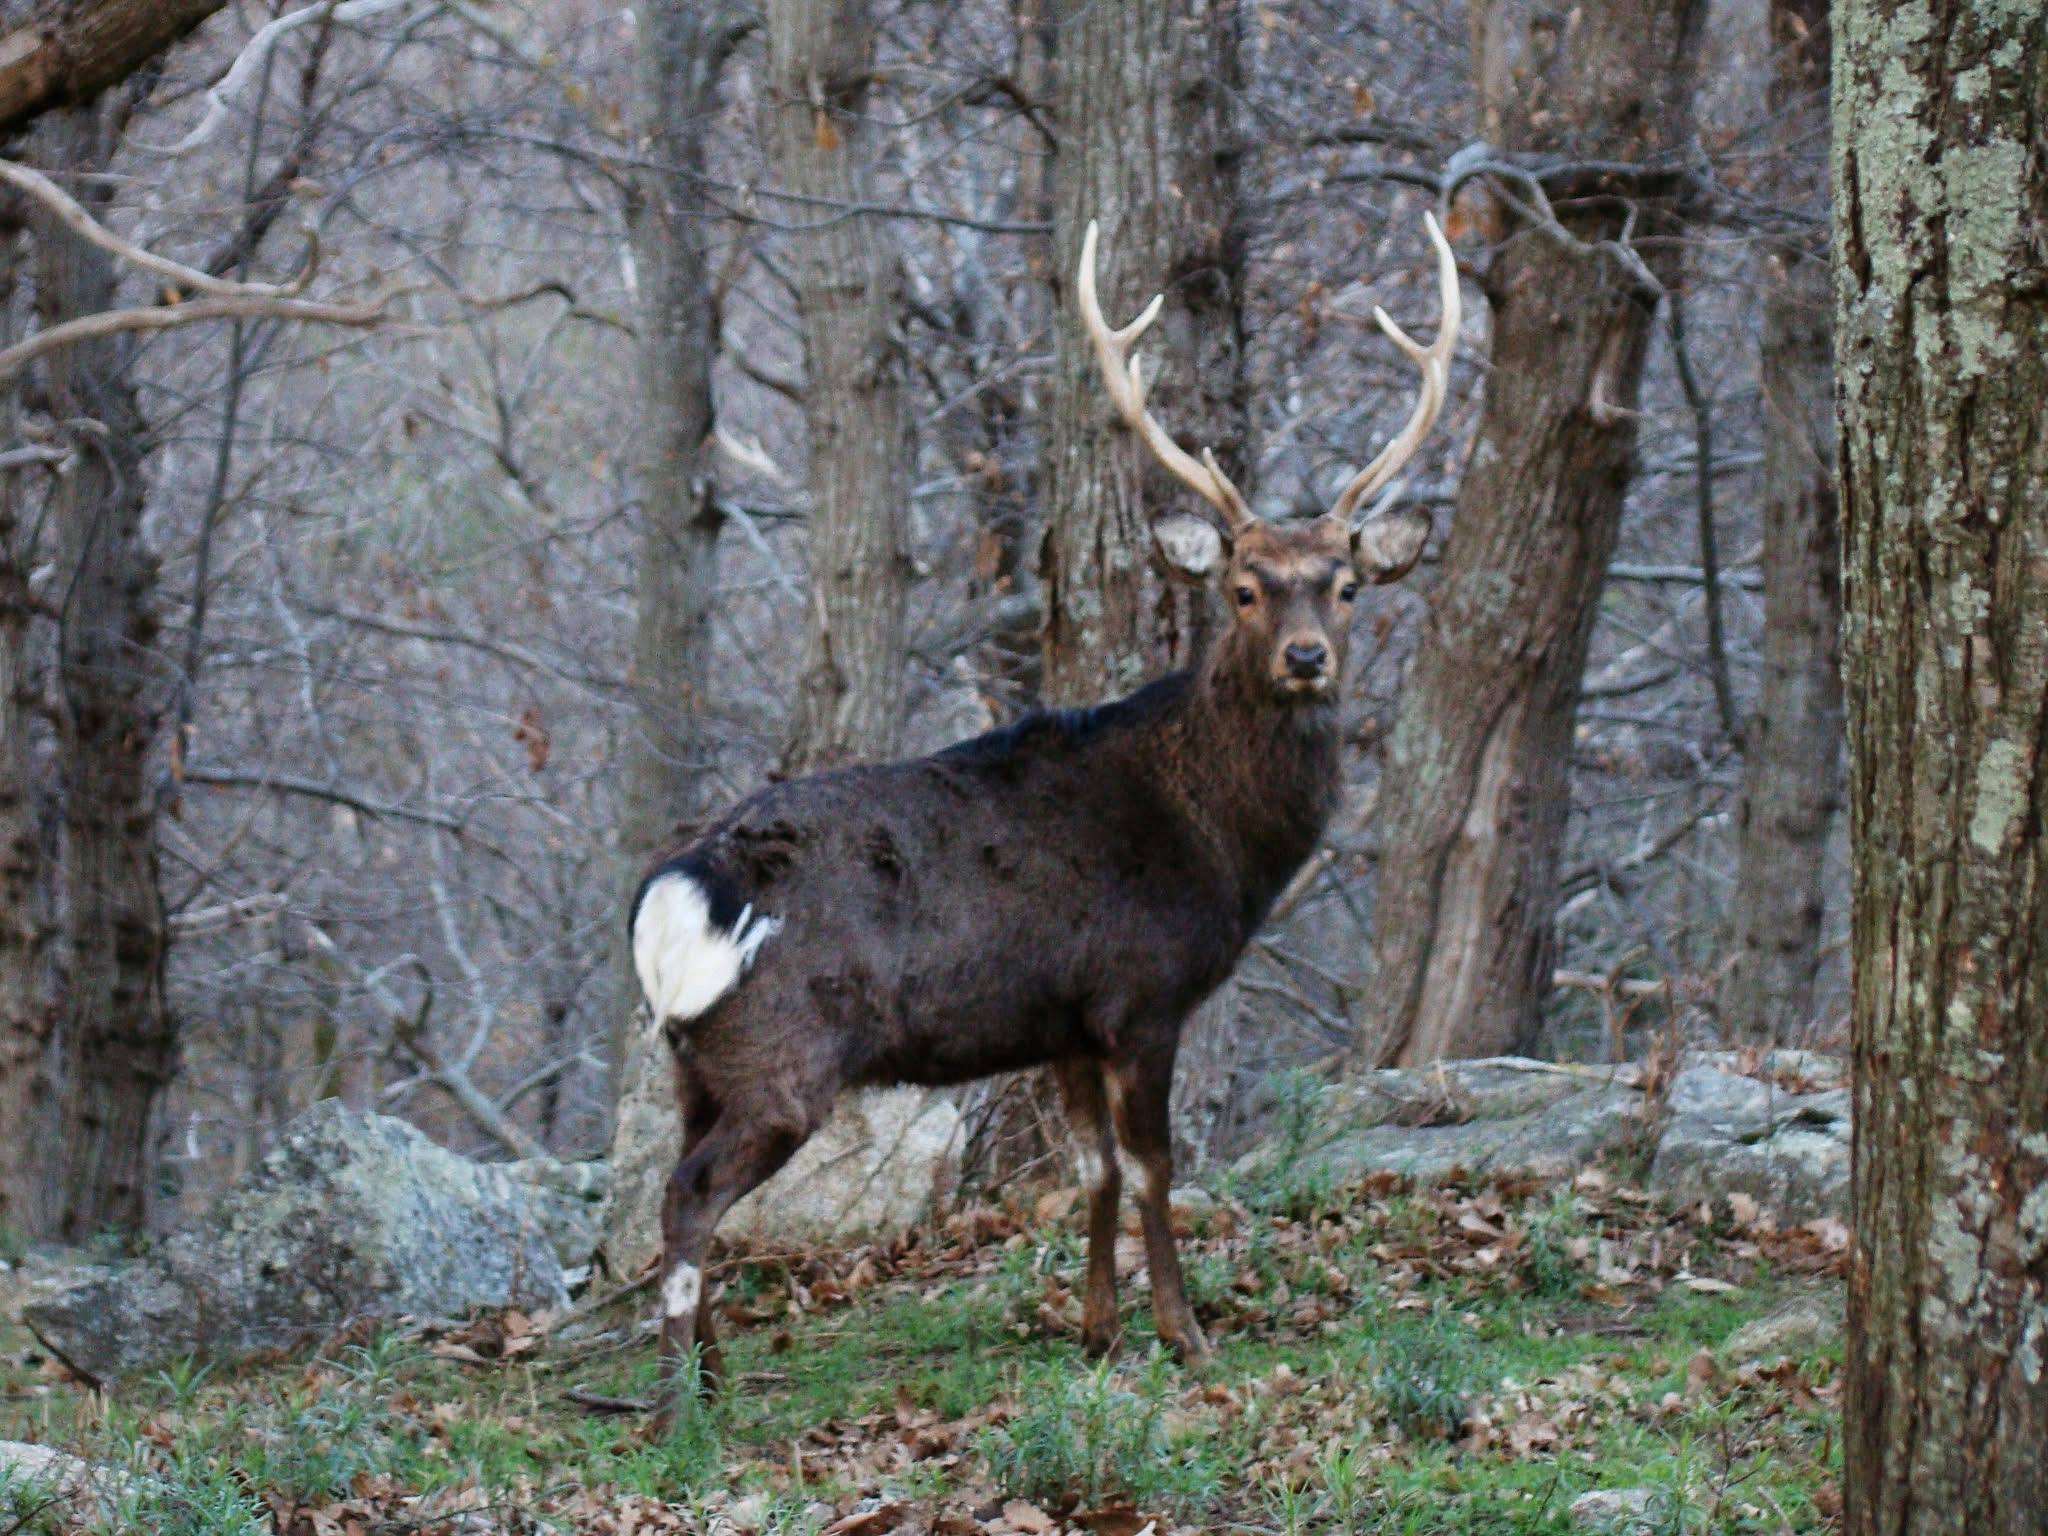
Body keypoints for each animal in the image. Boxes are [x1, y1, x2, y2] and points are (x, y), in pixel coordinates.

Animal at [629, 211, 1461, 1420]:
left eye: (1346, 585)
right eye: (1244, 587)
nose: (1308, 657)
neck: (1221, 846)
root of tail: (682, 893)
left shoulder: (1062, 1018)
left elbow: (1091, 1171)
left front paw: (1096, 1329)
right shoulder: (1139, 993)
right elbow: (1157, 1167)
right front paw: (1185, 1334)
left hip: (696, 1058)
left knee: (673, 1179)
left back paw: (713, 1371)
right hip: (783, 1055)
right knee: (690, 1196)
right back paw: (682, 1403)